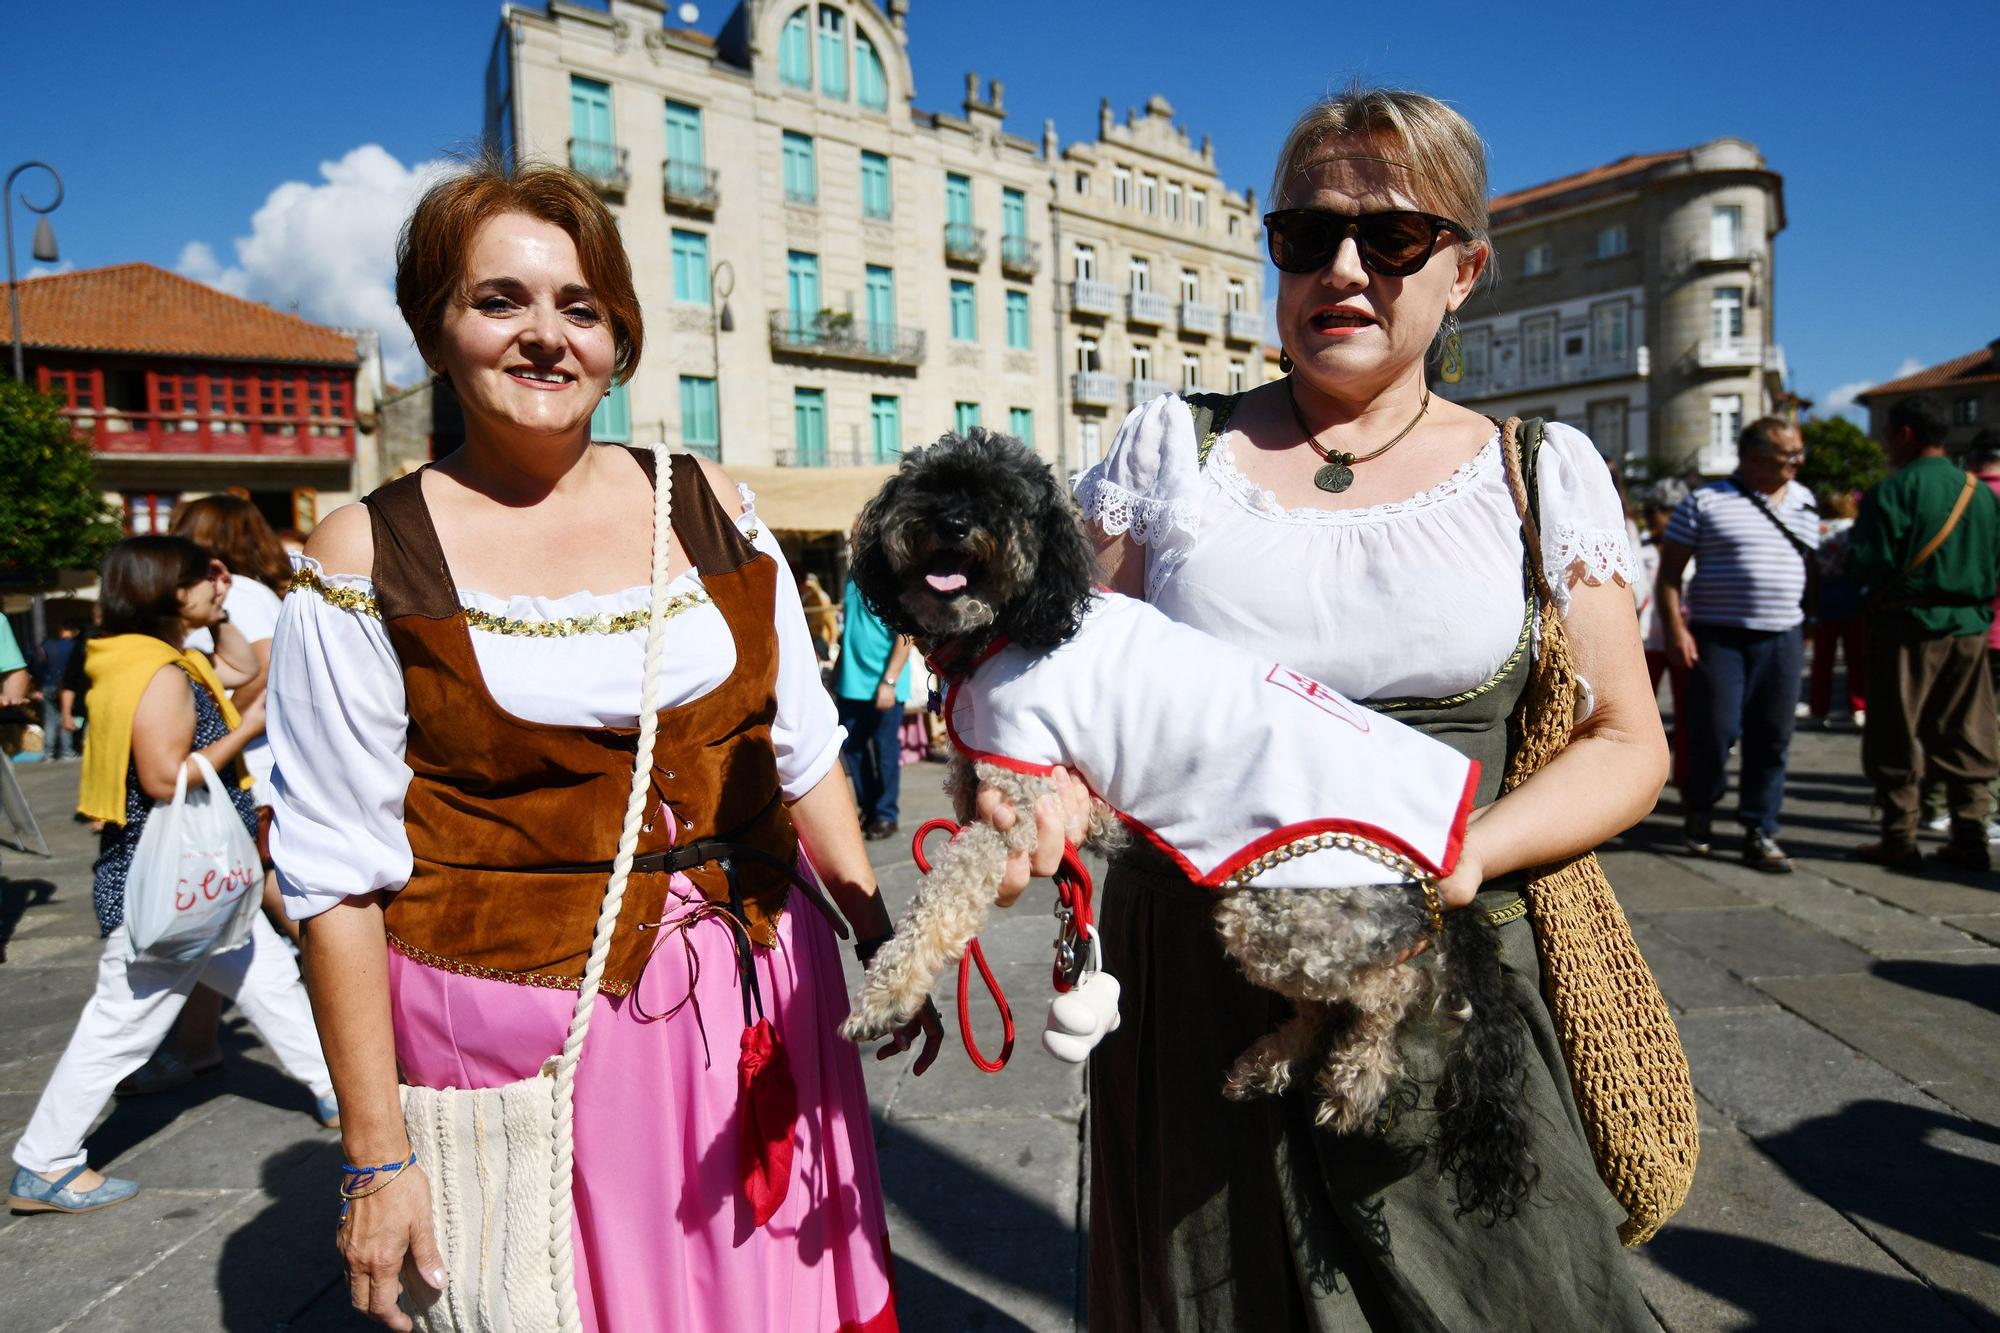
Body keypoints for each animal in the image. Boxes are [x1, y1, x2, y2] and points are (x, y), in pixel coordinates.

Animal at [836, 430, 1536, 1216]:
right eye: (928, 484)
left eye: (1003, 499)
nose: (953, 524)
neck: (1012, 625)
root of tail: (1438, 875)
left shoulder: (1025, 800)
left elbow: (944, 894)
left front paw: (888, 994)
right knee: (1329, 1003)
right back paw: (1270, 1063)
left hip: (1285, 912)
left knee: (1390, 991)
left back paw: (1357, 1078)